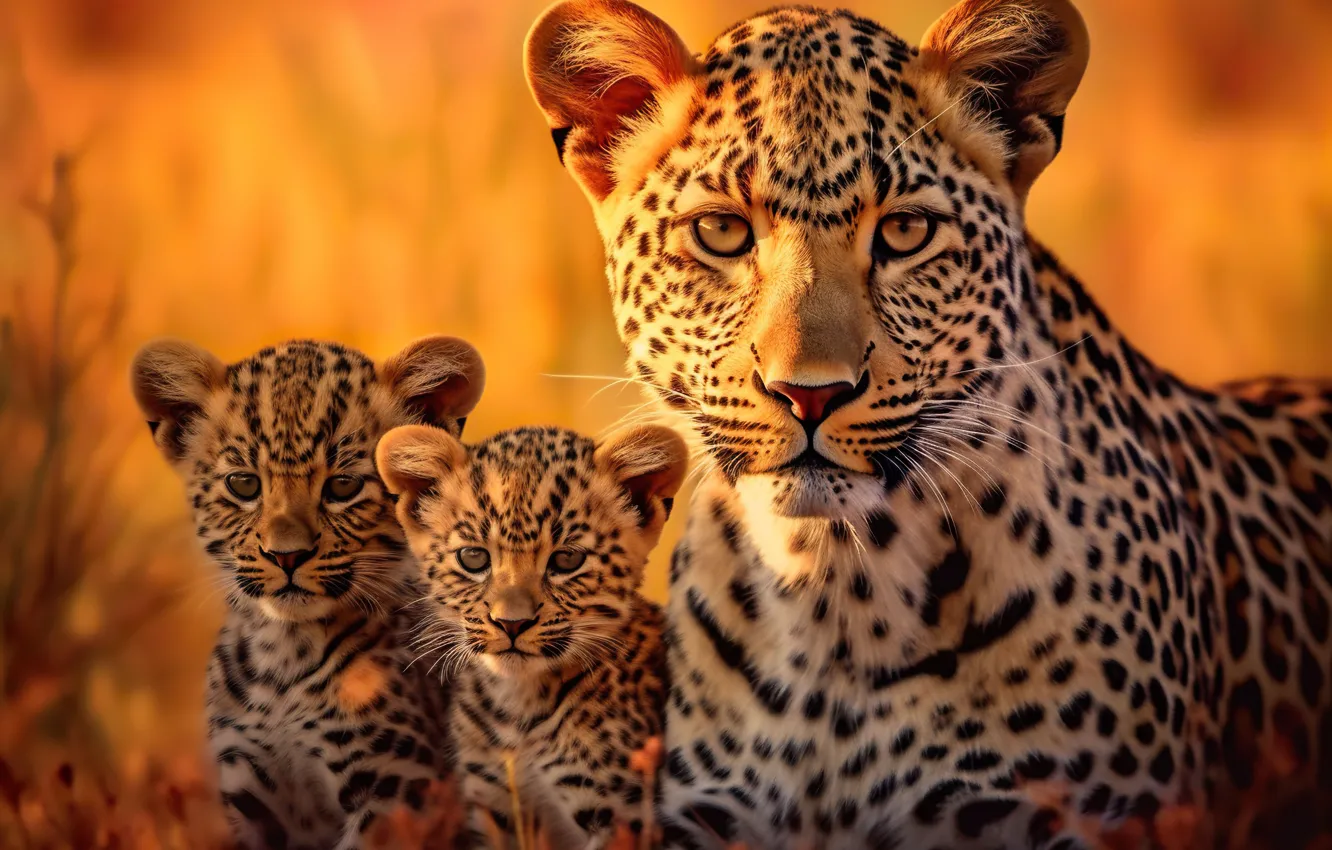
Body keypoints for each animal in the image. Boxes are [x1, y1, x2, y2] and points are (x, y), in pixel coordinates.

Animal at [131, 335, 486, 850]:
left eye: (344, 485)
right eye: (244, 484)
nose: (287, 555)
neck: (282, 657)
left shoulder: (397, 792)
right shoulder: (252, 798)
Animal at [375, 422, 688, 849]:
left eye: (567, 559)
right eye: (473, 558)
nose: (511, 623)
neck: (516, 708)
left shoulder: (621, 817)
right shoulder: (496, 806)